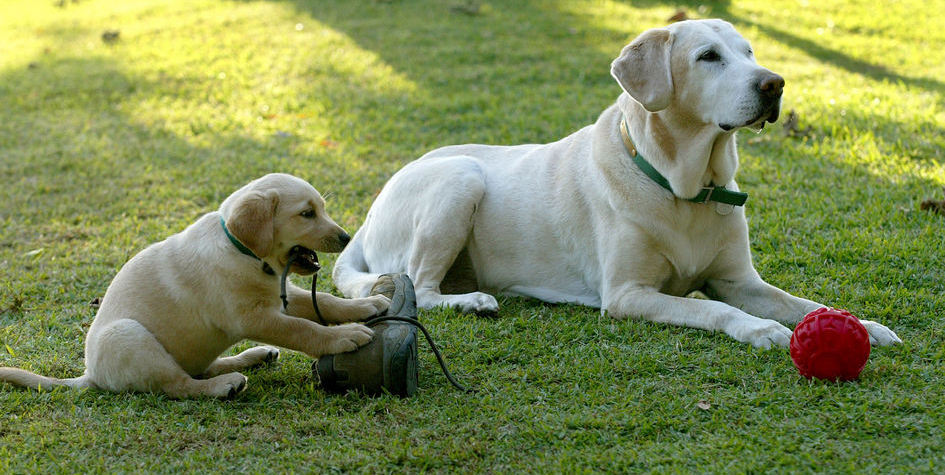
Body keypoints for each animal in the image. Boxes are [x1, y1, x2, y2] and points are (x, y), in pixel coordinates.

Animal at [0, 174, 388, 398]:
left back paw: (252, 357)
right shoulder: (253, 317)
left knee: (198, 369)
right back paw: (225, 385)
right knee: (180, 385)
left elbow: (323, 302)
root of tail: (91, 376)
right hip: (128, 335)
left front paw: (364, 306)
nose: (346, 237)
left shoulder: (279, 297)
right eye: (307, 214)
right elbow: (302, 330)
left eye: (321, 209)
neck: (244, 253)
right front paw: (343, 336)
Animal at [334, 19, 900, 350]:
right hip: (459, 178)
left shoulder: (741, 281)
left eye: (749, 52)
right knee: (419, 287)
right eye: (709, 57)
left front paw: (862, 325)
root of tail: (370, 212)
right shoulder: (629, 294)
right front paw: (760, 329)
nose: (775, 84)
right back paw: (472, 301)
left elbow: (804, 304)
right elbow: (711, 307)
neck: (685, 187)